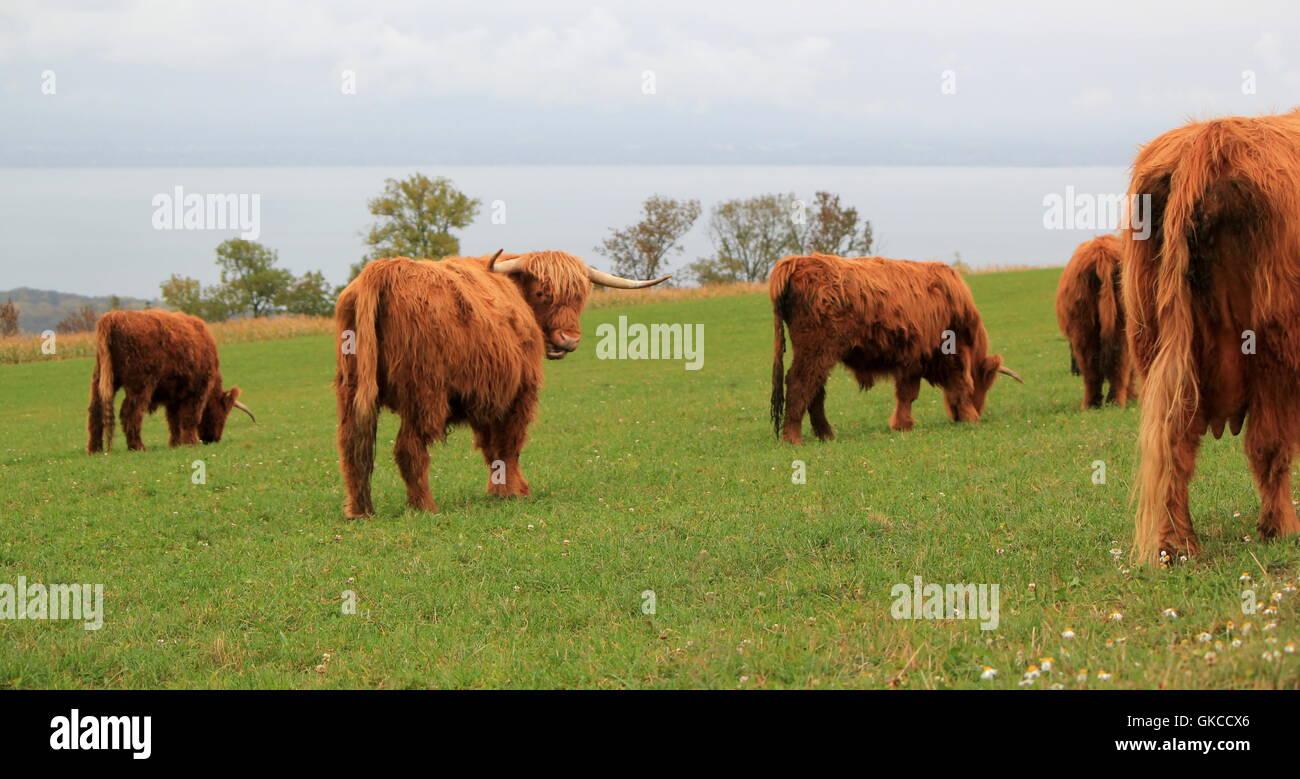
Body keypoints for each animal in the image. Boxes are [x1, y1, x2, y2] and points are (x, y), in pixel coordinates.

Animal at [87, 309, 254, 453]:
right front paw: (190, 443)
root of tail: (113, 317)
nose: (213, 439)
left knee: (96, 410)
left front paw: (176, 443)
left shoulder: (174, 396)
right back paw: (138, 447)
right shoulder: (196, 391)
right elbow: (189, 418)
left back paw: (95, 449)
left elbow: (174, 421)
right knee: (130, 412)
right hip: (140, 385)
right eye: (222, 414)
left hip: (102, 379)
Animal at [334, 251, 668, 517]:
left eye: (580, 297)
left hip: (351, 386)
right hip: (425, 393)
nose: (569, 340)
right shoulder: (519, 393)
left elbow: (491, 446)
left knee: (353, 446)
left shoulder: (487, 395)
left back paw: (359, 511)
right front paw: (515, 492)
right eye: (542, 293)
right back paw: (425, 506)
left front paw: (500, 490)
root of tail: (384, 270)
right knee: (408, 448)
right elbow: (509, 445)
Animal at [769, 253, 1022, 444]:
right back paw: (793, 438)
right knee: (800, 383)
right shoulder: (951, 353)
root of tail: (798, 261)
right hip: (817, 350)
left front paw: (902, 424)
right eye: (985, 384)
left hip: (820, 355)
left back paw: (826, 435)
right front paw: (970, 417)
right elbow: (958, 385)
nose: (978, 410)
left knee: (815, 390)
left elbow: (906, 394)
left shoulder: (911, 360)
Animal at [1055, 234, 1137, 408]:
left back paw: (1093, 404)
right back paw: (1115, 402)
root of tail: (1101, 253)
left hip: (1084, 327)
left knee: (1092, 366)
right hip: (1119, 324)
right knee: (1119, 362)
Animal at [1126, 109, 1300, 564]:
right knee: (1269, 446)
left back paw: (1177, 545)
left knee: (1175, 442)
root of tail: (1206, 138)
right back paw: (1281, 528)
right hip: (1272, 349)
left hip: (1156, 345)